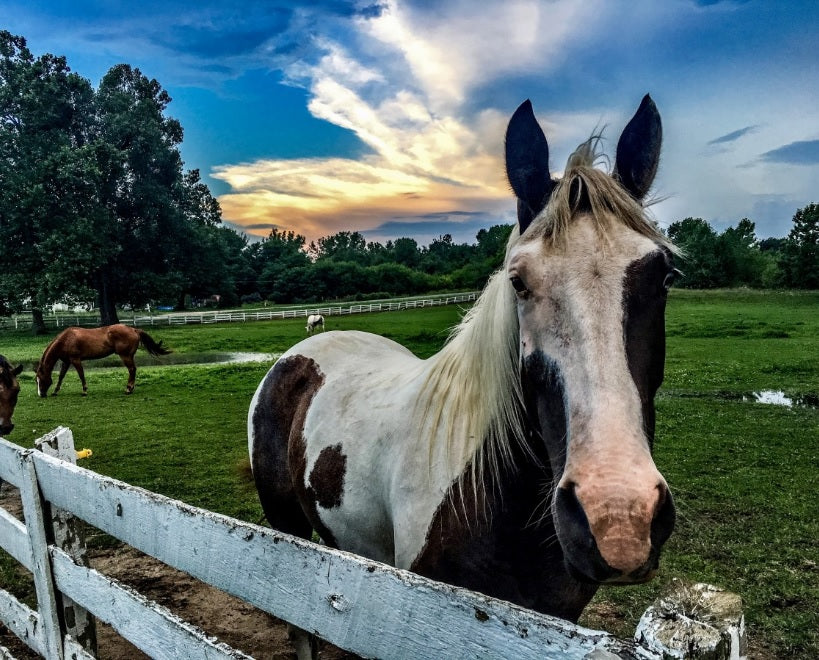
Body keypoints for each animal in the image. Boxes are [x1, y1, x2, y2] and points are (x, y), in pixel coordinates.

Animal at [35, 324, 171, 396]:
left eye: (40, 379)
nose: (41, 395)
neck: (66, 339)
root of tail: (133, 329)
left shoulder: (75, 360)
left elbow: (81, 375)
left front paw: (84, 391)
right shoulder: (67, 361)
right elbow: (61, 376)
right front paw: (55, 391)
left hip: (125, 356)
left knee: (132, 369)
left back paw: (128, 389)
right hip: (129, 356)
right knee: (133, 370)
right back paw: (131, 388)